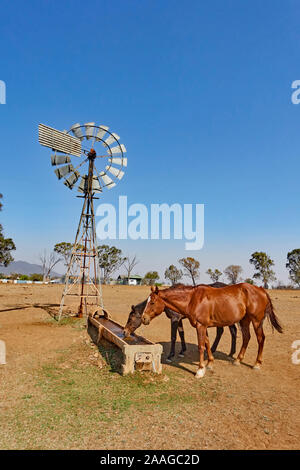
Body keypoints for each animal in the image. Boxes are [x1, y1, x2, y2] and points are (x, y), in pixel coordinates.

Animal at [140, 282, 282, 378]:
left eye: (152, 302)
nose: (143, 318)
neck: (192, 299)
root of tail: (261, 290)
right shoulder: (204, 327)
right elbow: (207, 344)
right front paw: (209, 364)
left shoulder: (200, 326)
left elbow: (201, 346)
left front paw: (200, 370)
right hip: (244, 320)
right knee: (246, 337)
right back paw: (237, 360)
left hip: (256, 321)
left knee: (260, 339)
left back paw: (257, 364)